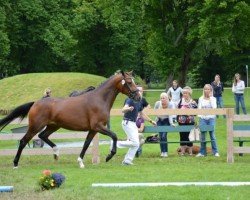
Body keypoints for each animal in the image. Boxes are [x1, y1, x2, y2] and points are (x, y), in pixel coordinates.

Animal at [0, 71, 141, 168]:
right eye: (129, 82)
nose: (138, 97)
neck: (99, 99)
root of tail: (36, 102)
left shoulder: (93, 129)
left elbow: (86, 144)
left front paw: (80, 162)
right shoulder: (98, 126)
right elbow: (114, 136)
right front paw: (109, 156)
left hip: (53, 126)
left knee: (42, 136)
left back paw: (56, 152)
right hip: (36, 126)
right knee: (23, 141)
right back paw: (15, 164)